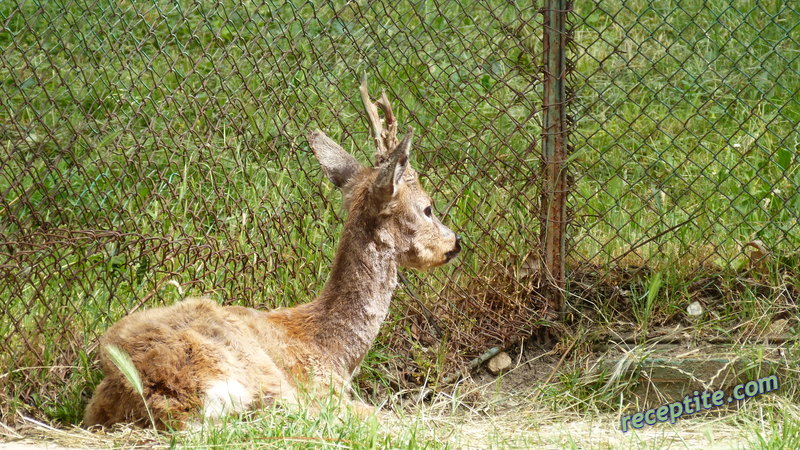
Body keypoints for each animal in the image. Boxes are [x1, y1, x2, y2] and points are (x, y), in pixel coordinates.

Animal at [82, 80, 462, 428]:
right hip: (258, 376)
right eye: (428, 208)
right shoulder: (324, 391)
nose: (455, 243)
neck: (333, 350)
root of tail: (146, 387)